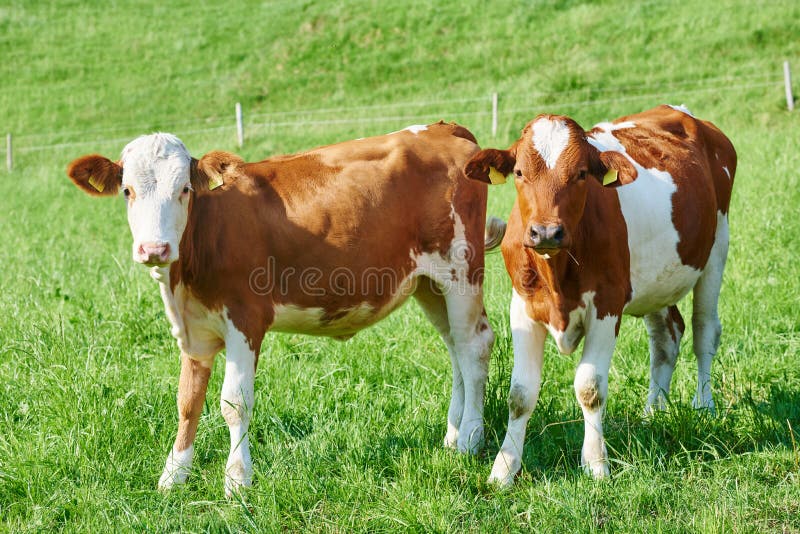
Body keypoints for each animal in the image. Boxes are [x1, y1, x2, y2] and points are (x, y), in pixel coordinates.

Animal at [66, 122, 504, 496]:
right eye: (127, 191)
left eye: (185, 189)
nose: (154, 249)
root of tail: (445, 129)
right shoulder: (193, 331)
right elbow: (187, 400)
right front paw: (174, 474)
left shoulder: (246, 319)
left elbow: (234, 402)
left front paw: (237, 479)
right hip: (430, 285)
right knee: (455, 348)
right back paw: (452, 435)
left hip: (461, 272)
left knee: (475, 345)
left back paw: (470, 437)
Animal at [464, 105, 736, 486]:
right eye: (519, 172)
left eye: (581, 174)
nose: (546, 231)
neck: (557, 272)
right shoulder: (522, 308)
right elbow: (520, 394)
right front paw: (504, 468)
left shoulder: (607, 306)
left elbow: (589, 387)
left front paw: (595, 463)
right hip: (654, 281)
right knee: (667, 338)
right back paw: (653, 412)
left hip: (715, 252)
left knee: (704, 333)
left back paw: (704, 406)